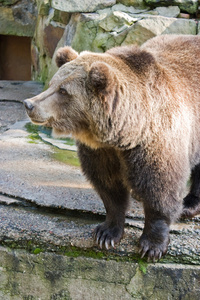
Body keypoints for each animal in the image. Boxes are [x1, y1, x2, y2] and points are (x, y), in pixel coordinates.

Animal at [24, 34, 200, 260]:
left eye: (63, 90)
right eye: (52, 83)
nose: (29, 104)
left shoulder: (157, 141)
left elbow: (160, 188)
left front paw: (152, 245)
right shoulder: (101, 151)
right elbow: (108, 186)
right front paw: (106, 233)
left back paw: (189, 204)